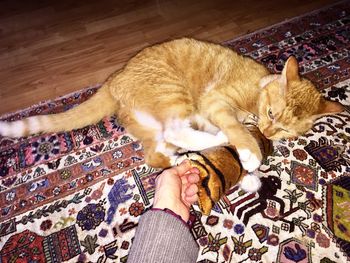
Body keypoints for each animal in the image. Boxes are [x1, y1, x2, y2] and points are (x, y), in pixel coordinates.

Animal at [0, 38, 344, 171]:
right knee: (178, 130)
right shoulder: (215, 102)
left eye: (285, 130)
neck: (257, 89)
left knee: (157, 151)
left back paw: (178, 158)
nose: (269, 133)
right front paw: (249, 151)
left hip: (152, 126)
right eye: (271, 113)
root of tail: (115, 77)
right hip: (174, 94)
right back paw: (216, 139)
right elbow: (236, 127)